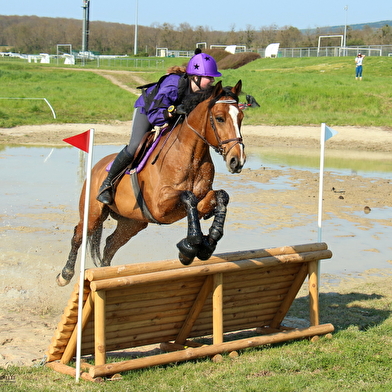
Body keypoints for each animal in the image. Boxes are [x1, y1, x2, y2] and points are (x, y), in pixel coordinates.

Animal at [56, 80, 245, 288]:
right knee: (78, 234)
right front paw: (191, 245)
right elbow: (188, 197)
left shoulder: (202, 198)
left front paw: (208, 241)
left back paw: (107, 272)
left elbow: (220, 196)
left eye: (241, 117)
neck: (190, 155)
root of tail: (96, 167)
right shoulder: (159, 206)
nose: (237, 161)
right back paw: (65, 274)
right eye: (219, 118)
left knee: (110, 244)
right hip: (93, 214)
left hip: (132, 223)